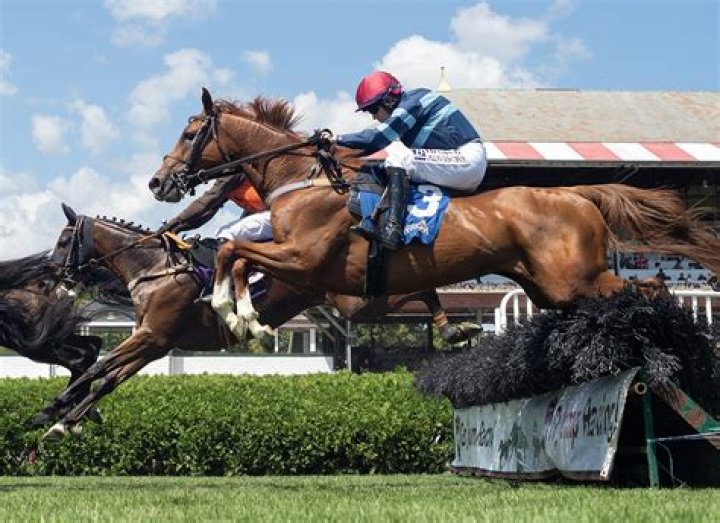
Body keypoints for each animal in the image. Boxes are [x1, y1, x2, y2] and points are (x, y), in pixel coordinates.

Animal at [0, 252, 103, 426]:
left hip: (34, 342)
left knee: (83, 355)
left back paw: (55, 412)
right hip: (54, 336)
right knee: (92, 346)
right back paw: (79, 410)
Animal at [40, 205, 477, 439]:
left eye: (62, 241)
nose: (50, 274)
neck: (154, 269)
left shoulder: (150, 336)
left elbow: (96, 370)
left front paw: (54, 409)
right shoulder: (153, 343)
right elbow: (108, 379)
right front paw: (68, 420)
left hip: (356, 301)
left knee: (420, 288)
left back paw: (456, 327)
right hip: (355, 302)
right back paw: (456, 329)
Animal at [148, 89, 720, 338]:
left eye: (190, 131)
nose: (159, 182)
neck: (305, 176)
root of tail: (576, 194)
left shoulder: (305, 258)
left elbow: (234, 250)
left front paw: (235, 312)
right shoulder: (305, 265)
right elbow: (235, 252)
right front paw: (239, 311)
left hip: (573, 280)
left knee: (651, 288)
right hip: (552, 288)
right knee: (647, 288)